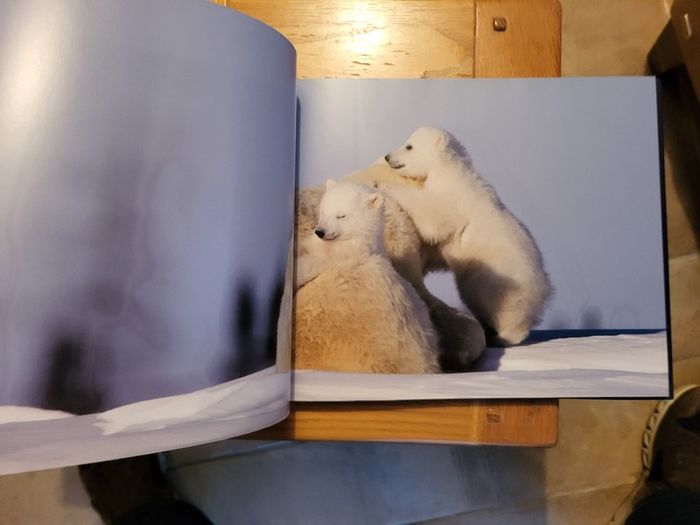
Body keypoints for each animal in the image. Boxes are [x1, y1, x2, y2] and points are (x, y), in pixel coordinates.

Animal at [382, 126, 552, 346]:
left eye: (409, 146)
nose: (387, 156)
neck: (449, 170)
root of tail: (545, 290)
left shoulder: (454, 198)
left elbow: (435, 218)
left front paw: (385, 186)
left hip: (504, 281)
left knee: (506, 308)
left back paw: (502, 336)